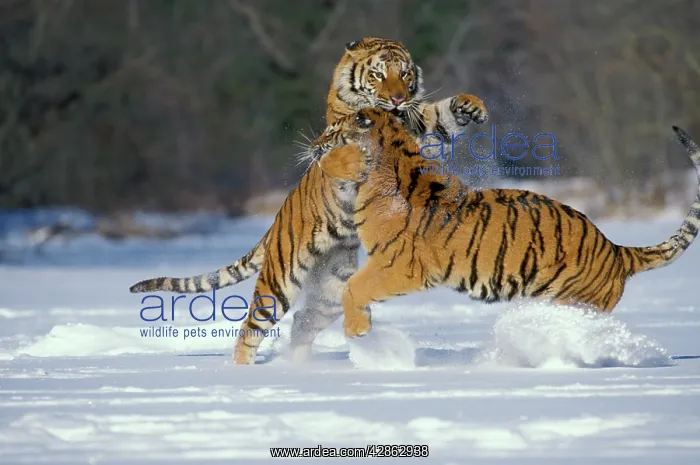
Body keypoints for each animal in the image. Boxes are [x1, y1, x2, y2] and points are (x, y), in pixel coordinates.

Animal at [129, 37, 490, 364]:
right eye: (377, 75)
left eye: (404, 74)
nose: (399, 99)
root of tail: (273, 227)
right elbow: (336, 154)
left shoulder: (418, 130)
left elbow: (438, 118)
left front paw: (470, 106)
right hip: (280, 281)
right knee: (250, 329)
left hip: (332, 287)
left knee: (304, 320)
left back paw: (300, 366)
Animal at [312, 107, 700, 338]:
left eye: (331, 130)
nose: (313, 146)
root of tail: (616, 250)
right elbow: (352, 287)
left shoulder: (400, 265)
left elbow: (352, 288)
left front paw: (357, 331)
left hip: (576, 303)